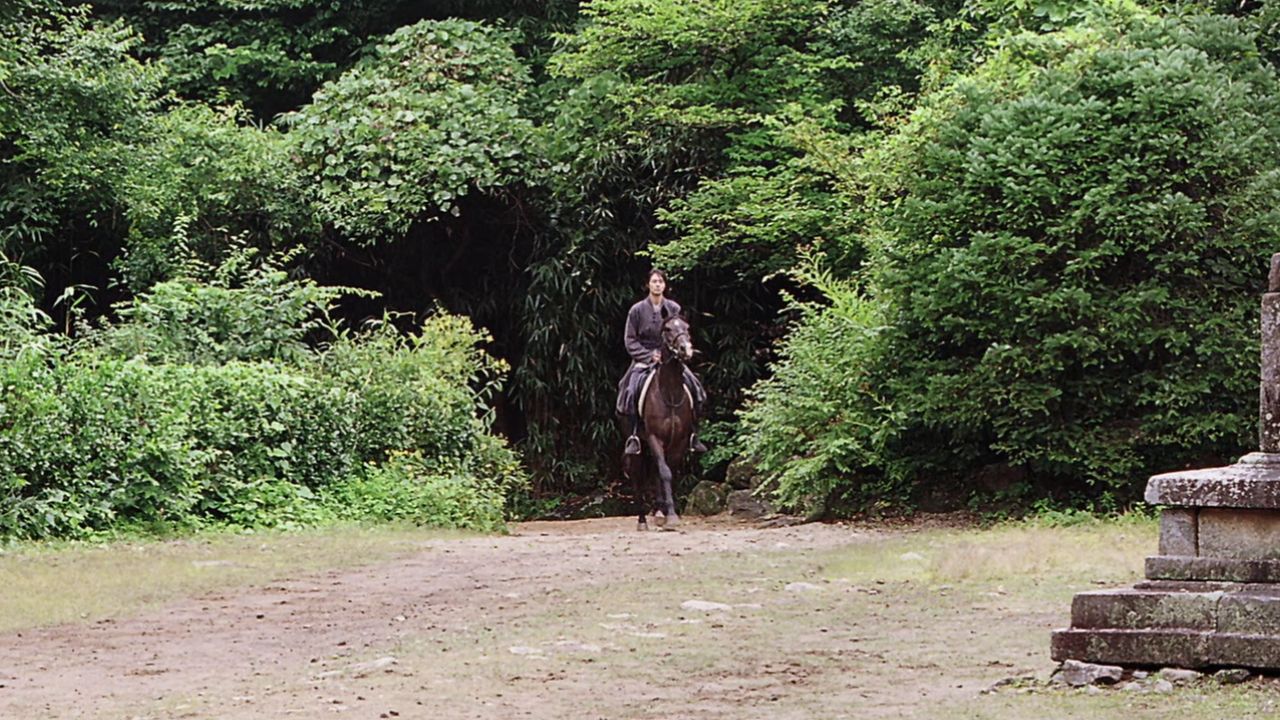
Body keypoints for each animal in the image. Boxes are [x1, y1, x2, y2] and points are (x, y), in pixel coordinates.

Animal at [624, 312, 696, 527]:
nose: (686, 349)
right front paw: (670, 516)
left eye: (687, 328)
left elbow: (668, 472)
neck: (670, 392)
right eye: (668, 329)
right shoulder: (654, 437)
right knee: (637, 476)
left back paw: (657, 512)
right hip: (637, 446)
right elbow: (665, 472)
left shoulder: (679, 441)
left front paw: (667, 512)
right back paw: (641, 520)